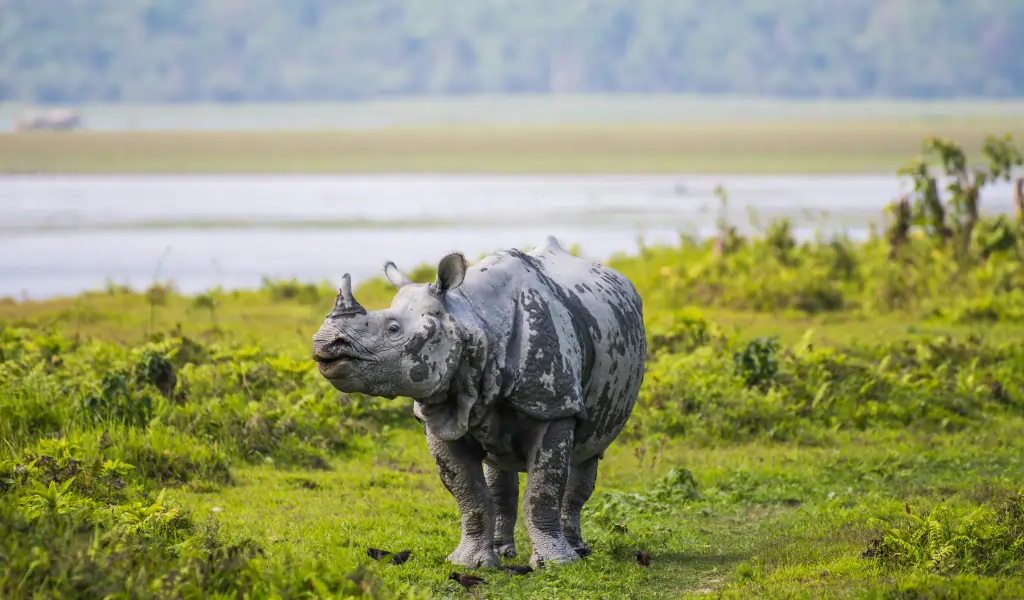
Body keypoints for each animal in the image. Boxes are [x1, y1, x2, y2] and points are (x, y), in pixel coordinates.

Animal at [311, 236, 646, 569]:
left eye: (393, 329)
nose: (324, 344)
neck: (473, 320)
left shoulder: (554, 406)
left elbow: (542, 492)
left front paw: (556, 564)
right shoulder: (439, 413)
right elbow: (469, 493)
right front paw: (468, 563)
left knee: (587, 455)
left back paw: (577, 551)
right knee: (499, 470)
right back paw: (503, 552)